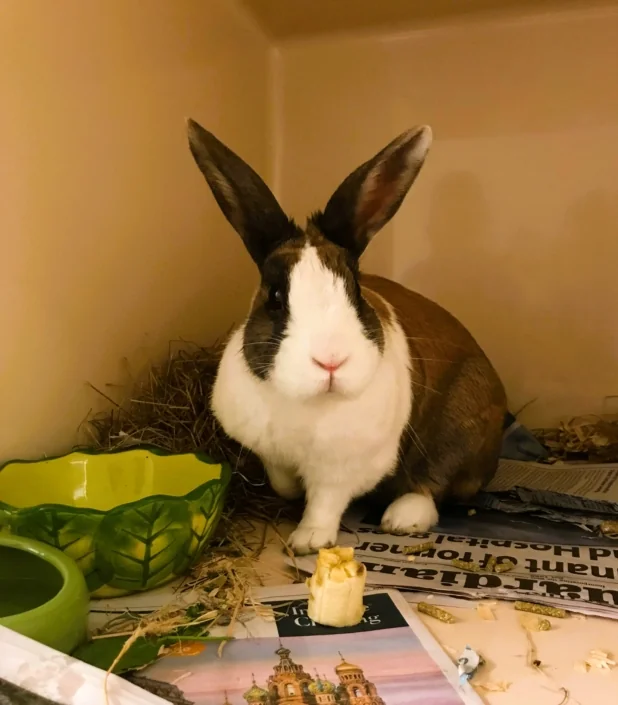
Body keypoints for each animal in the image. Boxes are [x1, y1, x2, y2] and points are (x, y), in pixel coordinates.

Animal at [186, 118, 507, 556]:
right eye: (275, 297)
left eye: (355, 290)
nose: (331, 361)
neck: (308, 403)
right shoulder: (269, 453)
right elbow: (282, 481)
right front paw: (292, 496)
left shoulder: (343, 468)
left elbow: (325, 501)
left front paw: (308, 540)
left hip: (462, 427)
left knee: (433, 482)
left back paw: (401, 518)